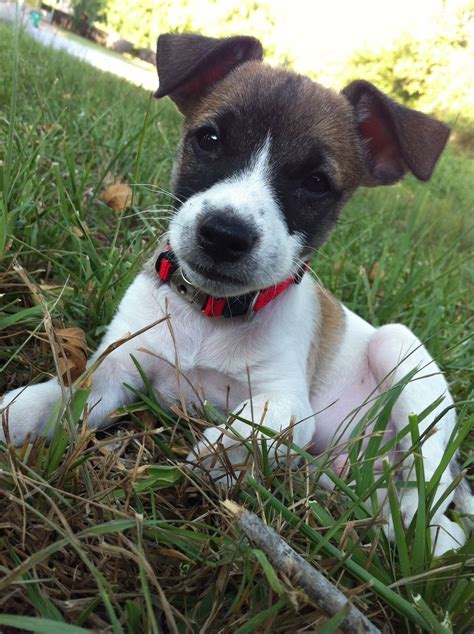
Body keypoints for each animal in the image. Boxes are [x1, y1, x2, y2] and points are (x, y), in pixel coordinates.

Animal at [1, 34, 472, 552]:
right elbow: (65, 394)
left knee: (433, 504)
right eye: (209, 139)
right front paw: (18, 411)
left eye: (316, 183)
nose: (225, 235)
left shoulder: (289, 402)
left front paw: (220, 453)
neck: (210, 315)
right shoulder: (119, 365)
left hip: (402, 355)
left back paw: (410, 523)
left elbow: (255, 423)